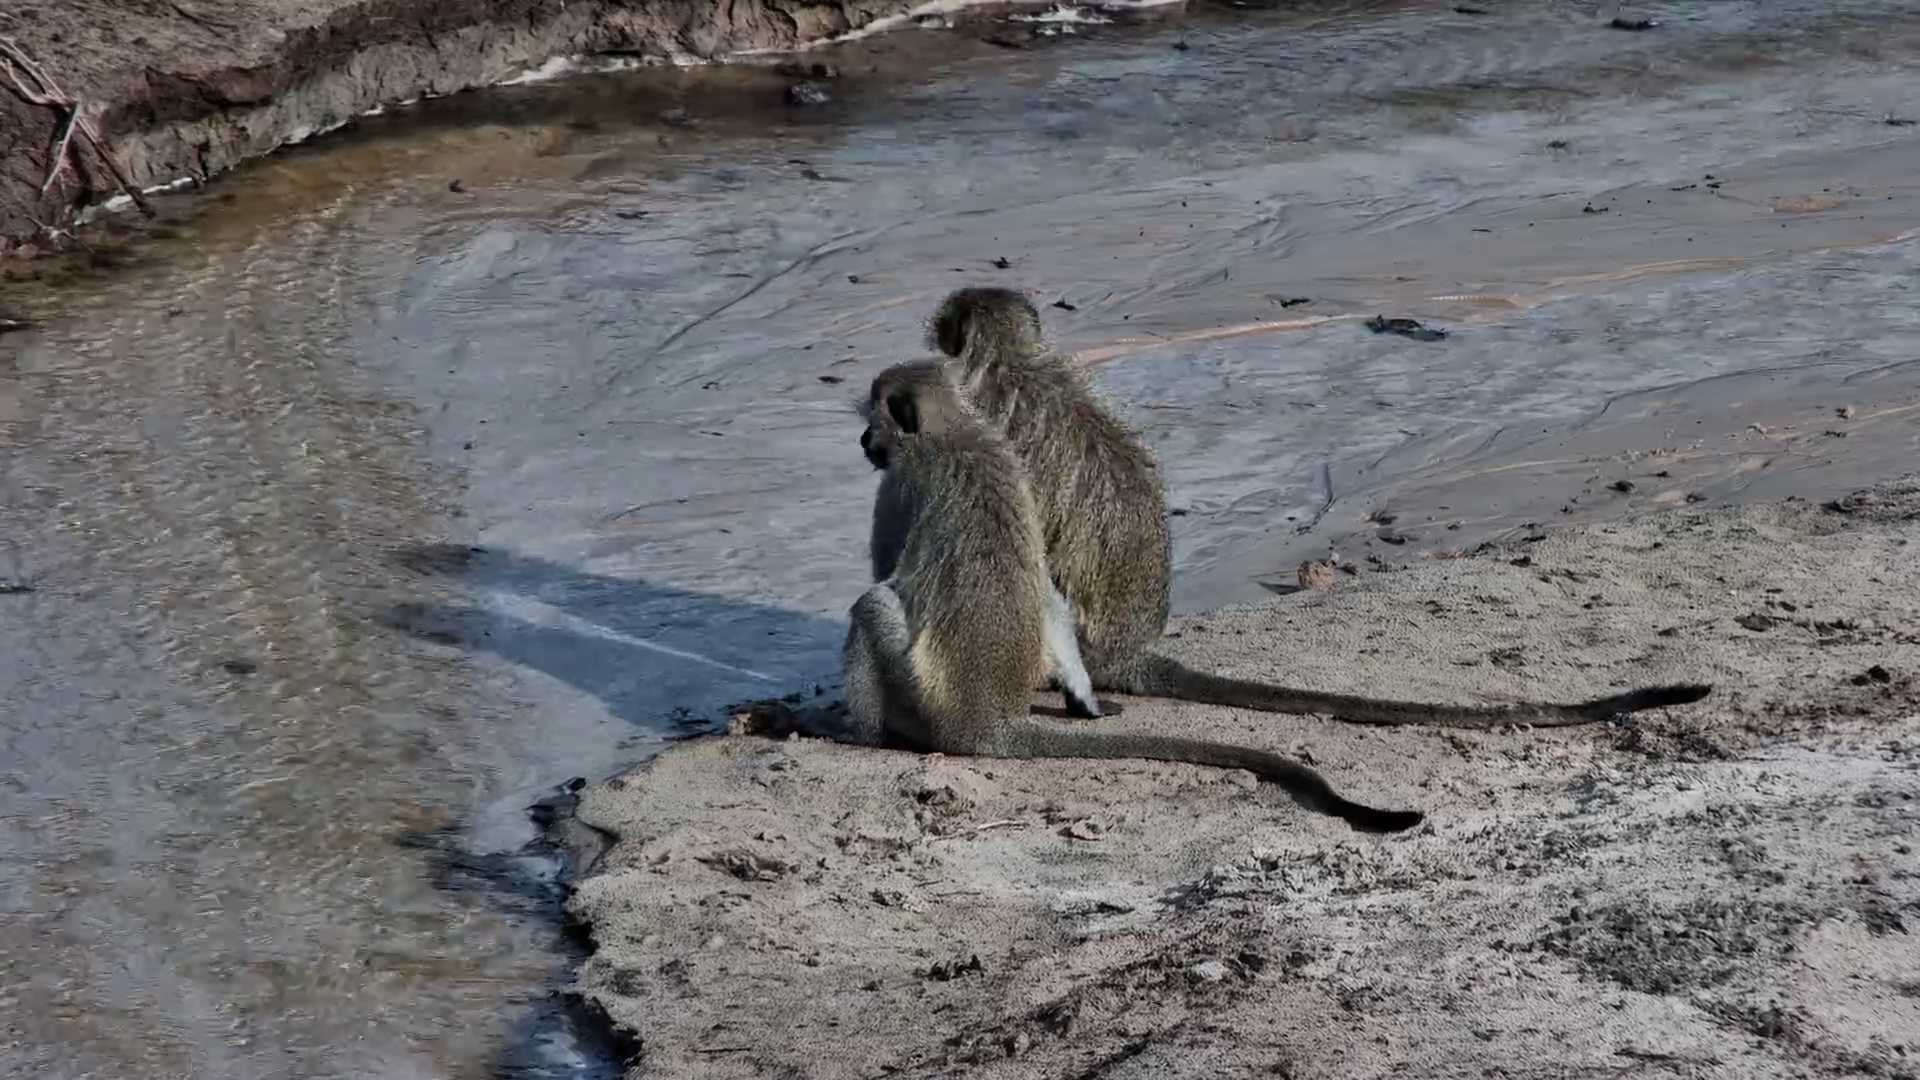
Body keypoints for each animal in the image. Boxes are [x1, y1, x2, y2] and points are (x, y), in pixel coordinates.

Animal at [843, 360, 1423, 834]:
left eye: (875, 420)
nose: (864, 440)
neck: (954, 428)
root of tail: (988, 723)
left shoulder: (900, 483)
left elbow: (886, 569)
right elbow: (1047, 590)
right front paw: (1086, 700)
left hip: (925, 703)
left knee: (871, 607)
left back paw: (864, 737)